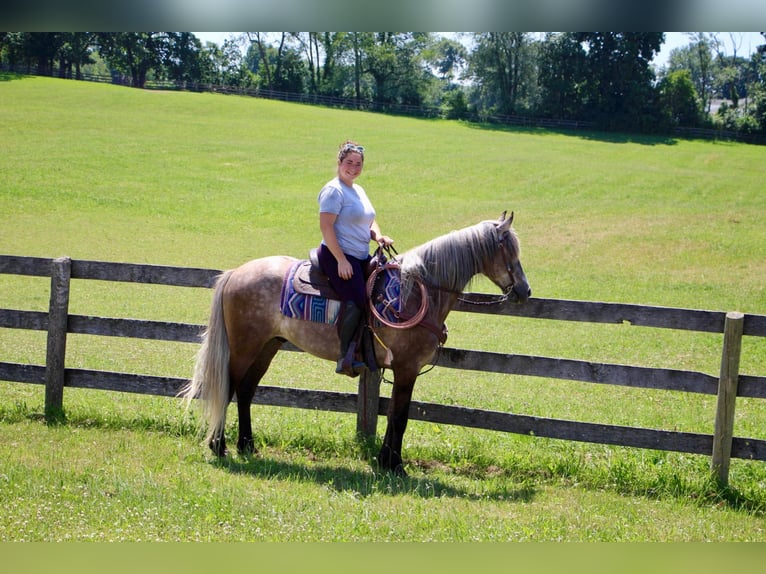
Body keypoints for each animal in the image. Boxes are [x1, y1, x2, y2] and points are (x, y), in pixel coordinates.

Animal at [184, 212, 536, 476]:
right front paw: (395, 465)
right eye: (509, 251)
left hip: (268, 345)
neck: (416, 292)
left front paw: (385, 460)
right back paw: (219, 445)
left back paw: (247, 444)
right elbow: (400, 417)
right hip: (244, 347)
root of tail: (234, 273)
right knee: (228, 388)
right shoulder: (407, 367)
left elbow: (394, 414)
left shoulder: (400, 369)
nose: (525, 291)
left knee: (245, 391)